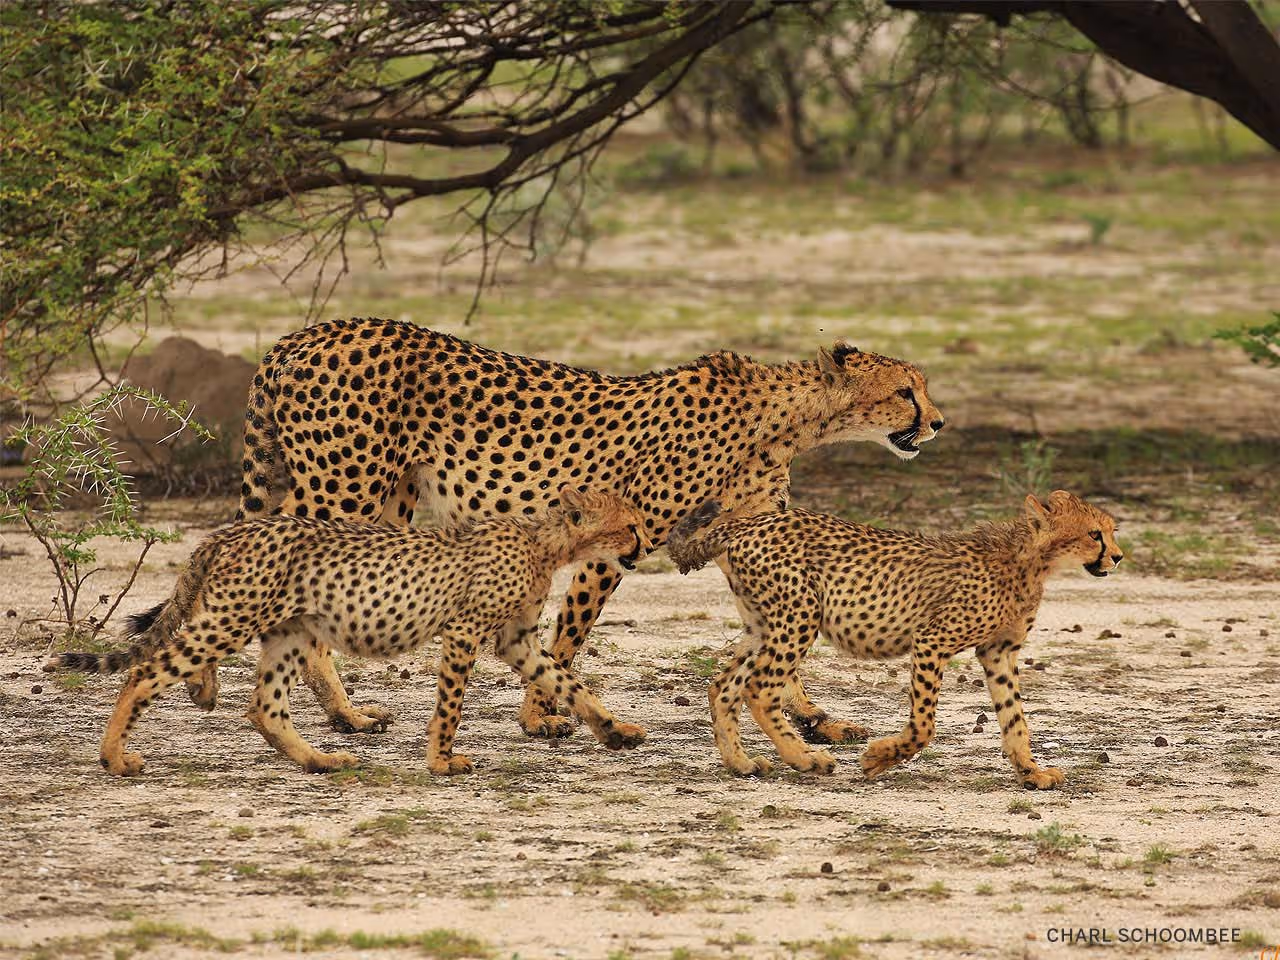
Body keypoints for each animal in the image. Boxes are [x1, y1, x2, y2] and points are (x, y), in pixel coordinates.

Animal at [45, 486, 652, 777]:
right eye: (629, 525)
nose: (646, 545)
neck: (545, 543)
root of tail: (231, 530)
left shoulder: (516, 640)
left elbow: (568, 683)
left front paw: (615, 730)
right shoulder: (463, 632)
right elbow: (451, 705)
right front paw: (441, 761)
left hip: (287, 632)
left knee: (264, 707)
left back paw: (322, 760)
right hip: (234, 619)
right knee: (146, 671)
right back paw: (117, 757)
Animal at [193, 317, 944, 746]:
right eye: (905, 391)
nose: (938, 422)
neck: (786, 420)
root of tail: (301, 335)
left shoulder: (748, 539)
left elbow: (773, 636)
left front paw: (816, 719)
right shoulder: (620, 540)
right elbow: (569, 634)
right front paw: (543, 714)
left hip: (388, 498)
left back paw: (323, 709)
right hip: (343, 487)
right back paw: (336, 713)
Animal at [667, 489, 1123, 789]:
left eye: (1111, 531)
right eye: (1094, 534)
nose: (1118, 557)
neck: (1031, 558)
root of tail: (748, 521)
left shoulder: (999, 652)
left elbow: (1015, 719)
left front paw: (1032, 772)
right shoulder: (932, 639)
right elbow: (924, 726)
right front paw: (877, 759)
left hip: (762, 625)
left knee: (723, 685)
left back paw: (740, 763)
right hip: (799, 616)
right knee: (760, 688)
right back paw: (806, 759)